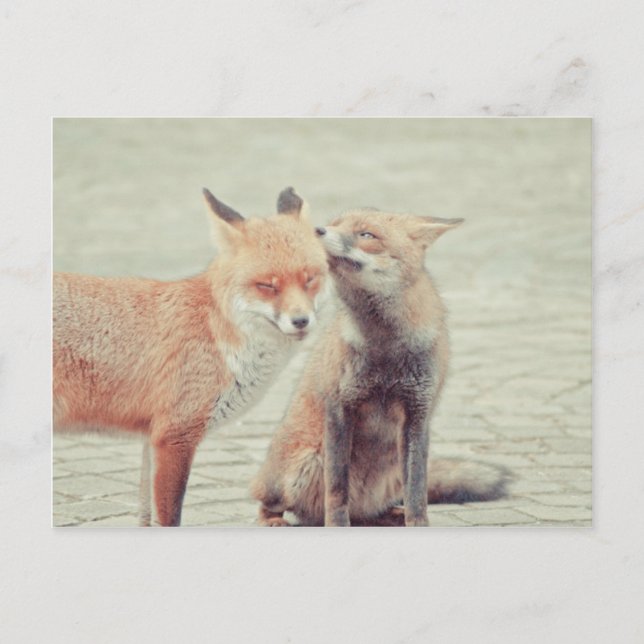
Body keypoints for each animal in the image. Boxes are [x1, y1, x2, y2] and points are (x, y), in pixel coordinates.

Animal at [53, 187, 328, 527]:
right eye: (266, 285)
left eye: (310, 279)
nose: (301, 321)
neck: (217, 333)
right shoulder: (174, 437)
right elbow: (169, 519)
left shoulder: (151, 439)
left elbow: (145, 518)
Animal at [251, 207, 508, 527]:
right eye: (334, 225)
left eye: (366, 234)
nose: (316, 230)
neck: (386, 351)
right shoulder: (340, 410)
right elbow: (336, 490)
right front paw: (337, 526)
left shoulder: (417, 414)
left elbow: (417, 492)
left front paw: (417, 524)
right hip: (301, 467)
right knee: (269, 503)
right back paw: (275, 519)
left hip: (391, 472)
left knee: (379, 508)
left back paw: (391, 514)